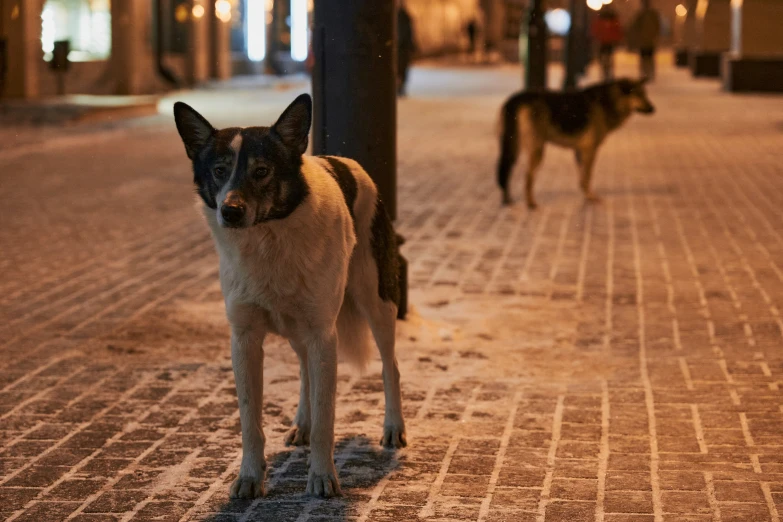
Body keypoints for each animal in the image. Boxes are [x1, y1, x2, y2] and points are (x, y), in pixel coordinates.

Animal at [175, 92, 408, 496]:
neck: (268, 239)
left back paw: (393, 427)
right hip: (302, 329)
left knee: (389, 365)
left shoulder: (322, 335)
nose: (230, 211)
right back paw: (302, 422)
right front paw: (249, 477)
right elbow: (250, 421)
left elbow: (327, 418)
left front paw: (322, 477)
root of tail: (345, 161)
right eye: (219, 170)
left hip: (376, 302)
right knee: (304, 372)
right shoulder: (245, 339)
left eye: (261, 171)